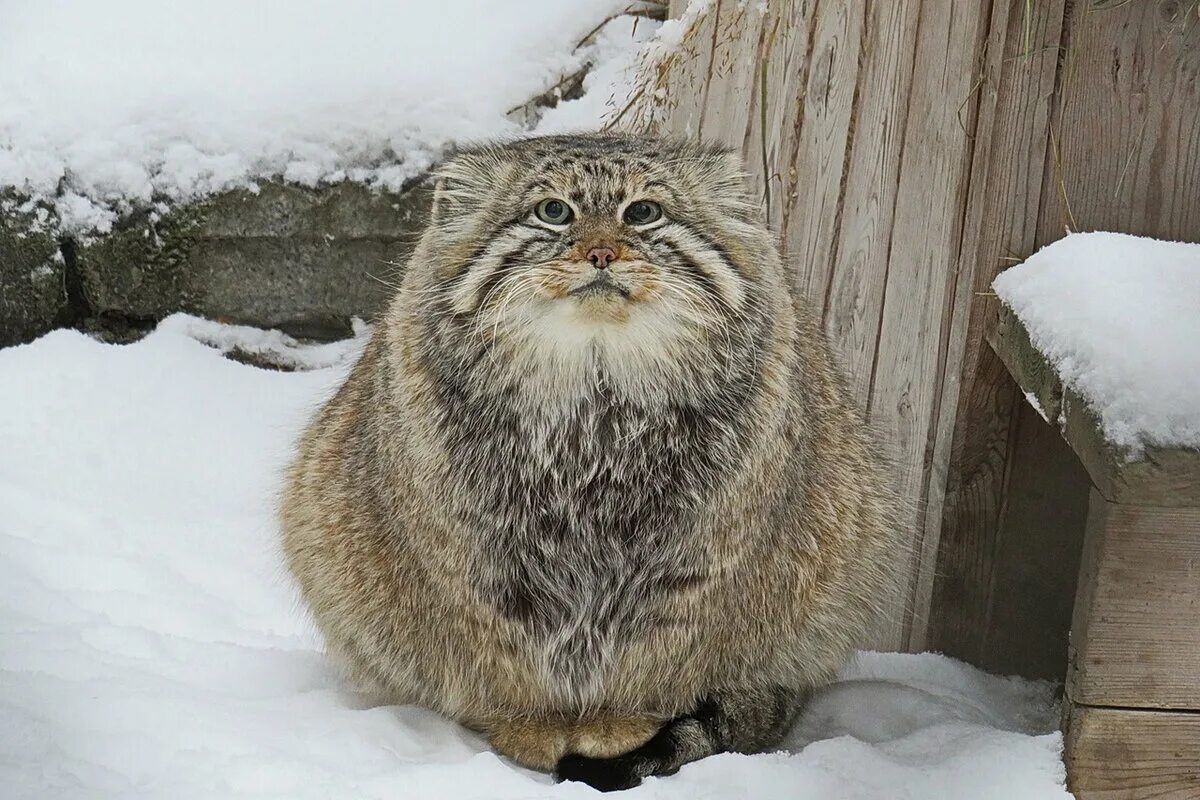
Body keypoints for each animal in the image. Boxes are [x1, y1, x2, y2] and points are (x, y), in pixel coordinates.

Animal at [283, 134, 902, 791]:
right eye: (553, 212)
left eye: (643, 212)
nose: (601, 252)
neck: (594, 393)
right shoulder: (474, 555)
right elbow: (506, 651)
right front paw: (533, 727)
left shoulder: (698, 561)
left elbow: (656, 654)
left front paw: (617, 723)